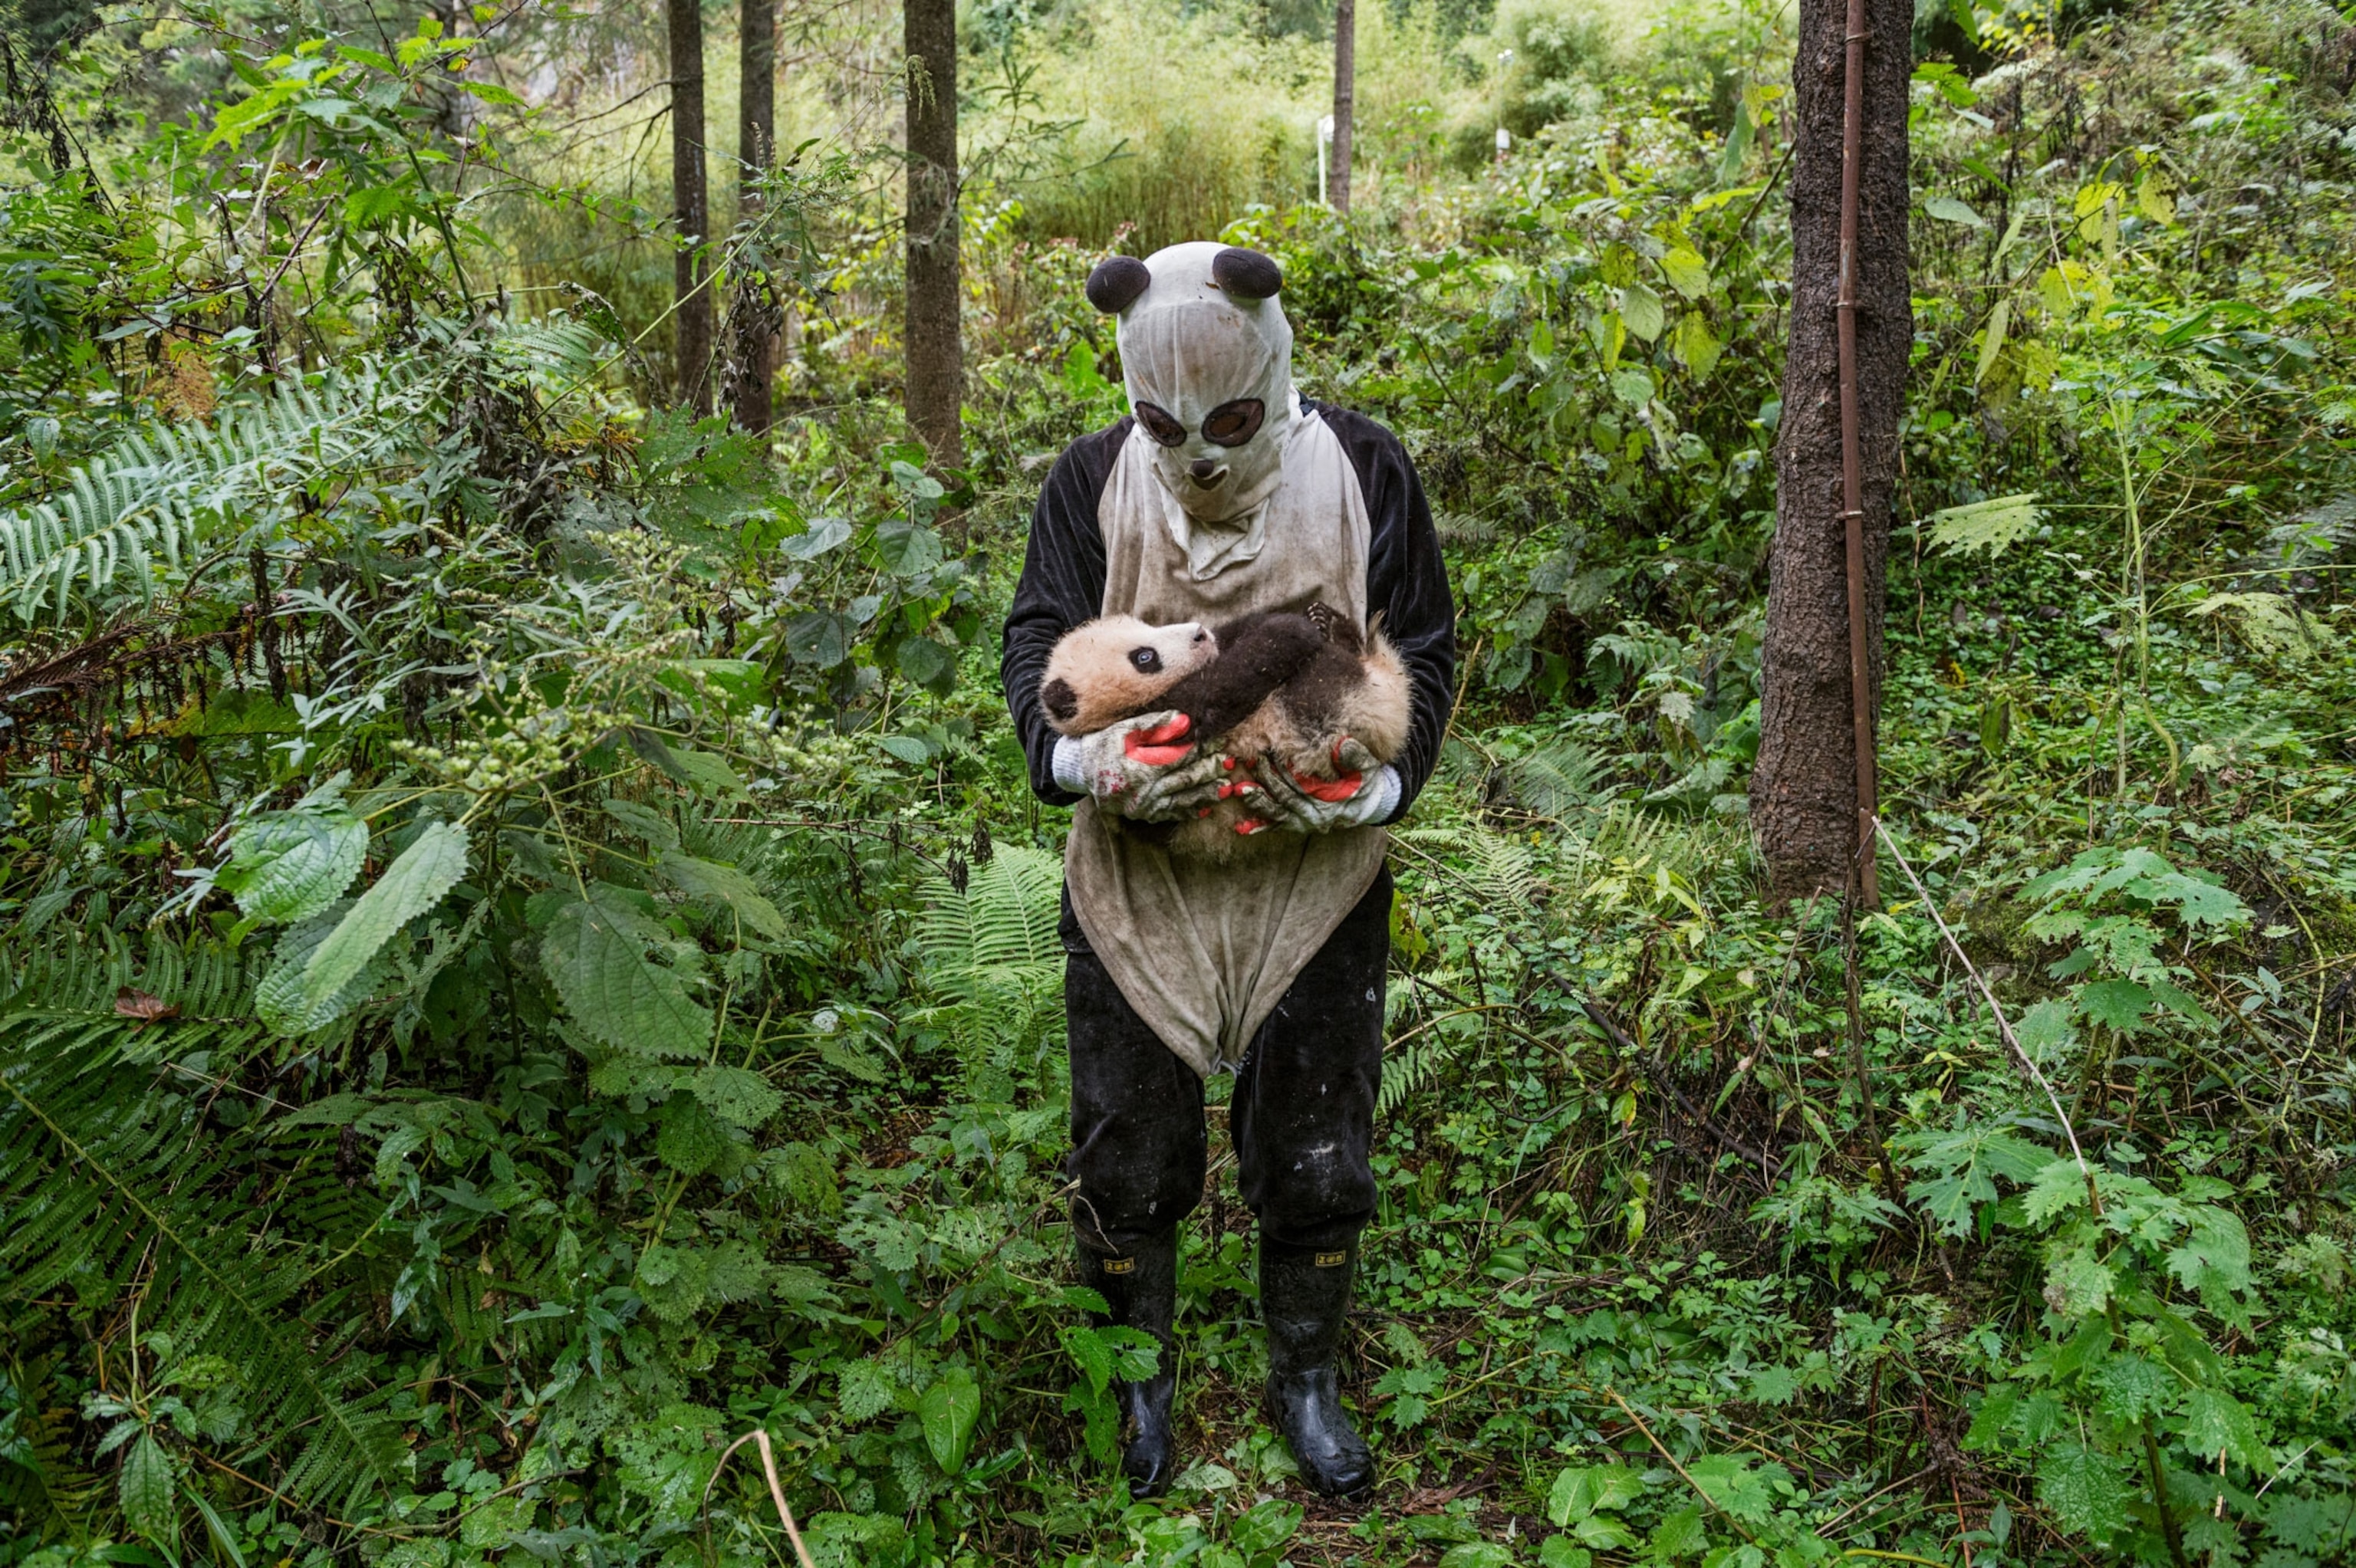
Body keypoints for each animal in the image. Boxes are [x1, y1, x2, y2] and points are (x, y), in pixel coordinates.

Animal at [1039, 603, 1412, 859]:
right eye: (1145, 657)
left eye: (1147, 626)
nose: (1199, 633)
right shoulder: (1168, 718)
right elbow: (1229, 684)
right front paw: (1292, 628)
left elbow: (1232, 637)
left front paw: (1300, 618)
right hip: (1321, 713)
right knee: (1324, 683)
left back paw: (1331, 622)